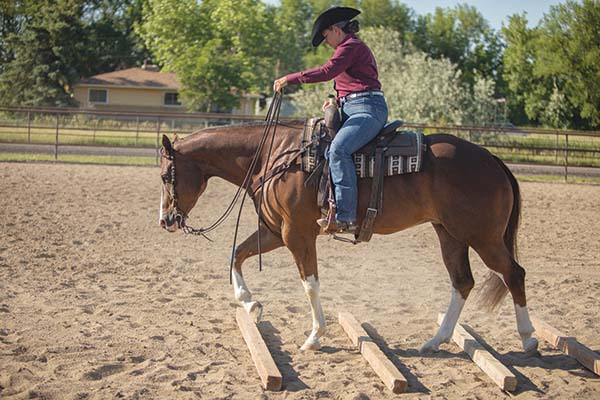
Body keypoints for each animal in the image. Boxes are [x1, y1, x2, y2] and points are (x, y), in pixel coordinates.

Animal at [156, 122, 540, 354]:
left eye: (164, 175)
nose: (166, 221)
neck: (274, 156)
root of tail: (492, 159)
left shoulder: (297, 233)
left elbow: (310, 284)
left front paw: (314, 337)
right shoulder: (275, 230)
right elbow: (236, 254)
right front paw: (250, 303)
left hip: (483, 237)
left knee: (514, 273)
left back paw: (528, 339)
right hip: (450, 235)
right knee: (462, 281)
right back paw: (436, 340)